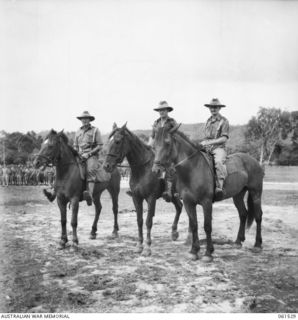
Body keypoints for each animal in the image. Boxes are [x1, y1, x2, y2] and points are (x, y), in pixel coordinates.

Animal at [102, 124, 183, 256]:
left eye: (118, 141)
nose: (106, 166)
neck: (142, 169)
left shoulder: (151, 198)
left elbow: (148, 221)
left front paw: (147, 248)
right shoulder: (136, 198)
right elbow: (139, 220)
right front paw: (139, 245)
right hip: (173, 196)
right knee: (179, 207)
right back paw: (174, 233)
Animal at [152, 125, 264, 262]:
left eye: (167, 143)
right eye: (154, 145)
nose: (156, 170)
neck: (193, 169)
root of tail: (254, 161)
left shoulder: (206, 203)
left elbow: (207, 226)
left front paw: (208, 253)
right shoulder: (189, 203)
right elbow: (194, 225)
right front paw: (194, 251)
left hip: (256, 193)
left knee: (258, 216)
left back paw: (257, 245)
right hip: (237, 195)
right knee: (243, 214)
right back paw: (238, 241)